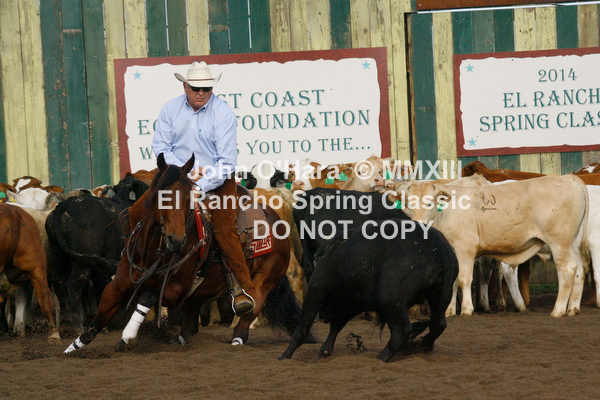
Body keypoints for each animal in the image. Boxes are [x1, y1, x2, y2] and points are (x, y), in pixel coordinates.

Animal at [65, 154, 306, 352]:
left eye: (189, 198)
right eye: (161, 196)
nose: (177, 239)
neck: (151, 251)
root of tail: (274, 215)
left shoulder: (177, 291)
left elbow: (147, 295)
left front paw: (127, 336)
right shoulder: (118, 284)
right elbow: (99, 318)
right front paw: (73, 347)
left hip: (267, 276)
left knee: (254, 303)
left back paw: (238, 334)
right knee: (191, 324)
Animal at [279, 218, 458, 362]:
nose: (322, 317)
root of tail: (439, 246)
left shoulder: (317, 291)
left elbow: (303, 327)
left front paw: (285, 355)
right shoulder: (350, 305)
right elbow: (336, 326)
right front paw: (325, 350)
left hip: (390, 300)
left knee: (401, 330)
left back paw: (381, 358)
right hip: (438, 296)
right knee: (438, 323)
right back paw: (425, 345)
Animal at [399, 174, 588, 318]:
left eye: (430, 203)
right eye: (409, 204)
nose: (418, 224)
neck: (446, 212)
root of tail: (569, 179)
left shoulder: (465, 248)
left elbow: (464, 279)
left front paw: (466, 309)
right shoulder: (452, 252)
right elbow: (452, 281)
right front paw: (449, 311)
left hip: (559, 243)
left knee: (567, 270)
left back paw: (557, 311)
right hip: (572, 243)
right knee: (579, 269)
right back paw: (572, 309)